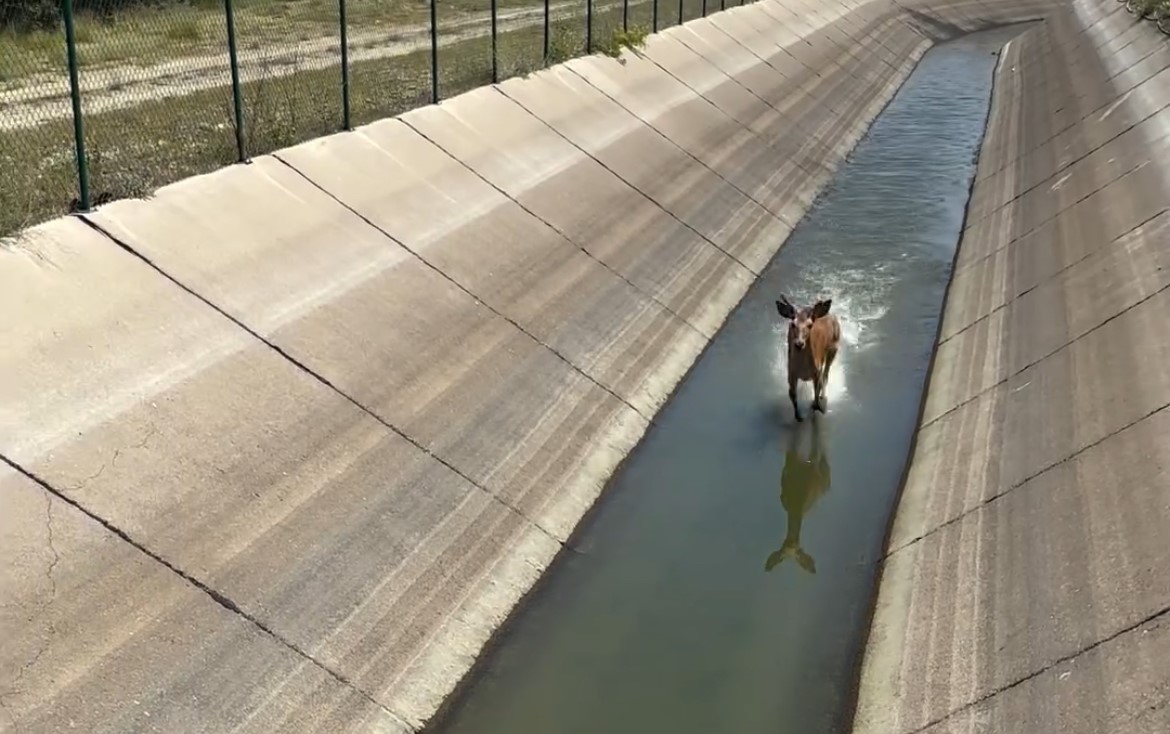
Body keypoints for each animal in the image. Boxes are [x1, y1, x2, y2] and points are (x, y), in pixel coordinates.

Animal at [776, 293, 842, 421]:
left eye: (810, 325)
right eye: (793, 324)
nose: (799, 344)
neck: (804, 369)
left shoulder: (817, 372)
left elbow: (816, 391)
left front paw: (817, 407)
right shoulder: (791, 372)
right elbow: (792, 395)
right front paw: (798, 416)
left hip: (834, 347)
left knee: (826, 374)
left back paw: (823, 397)